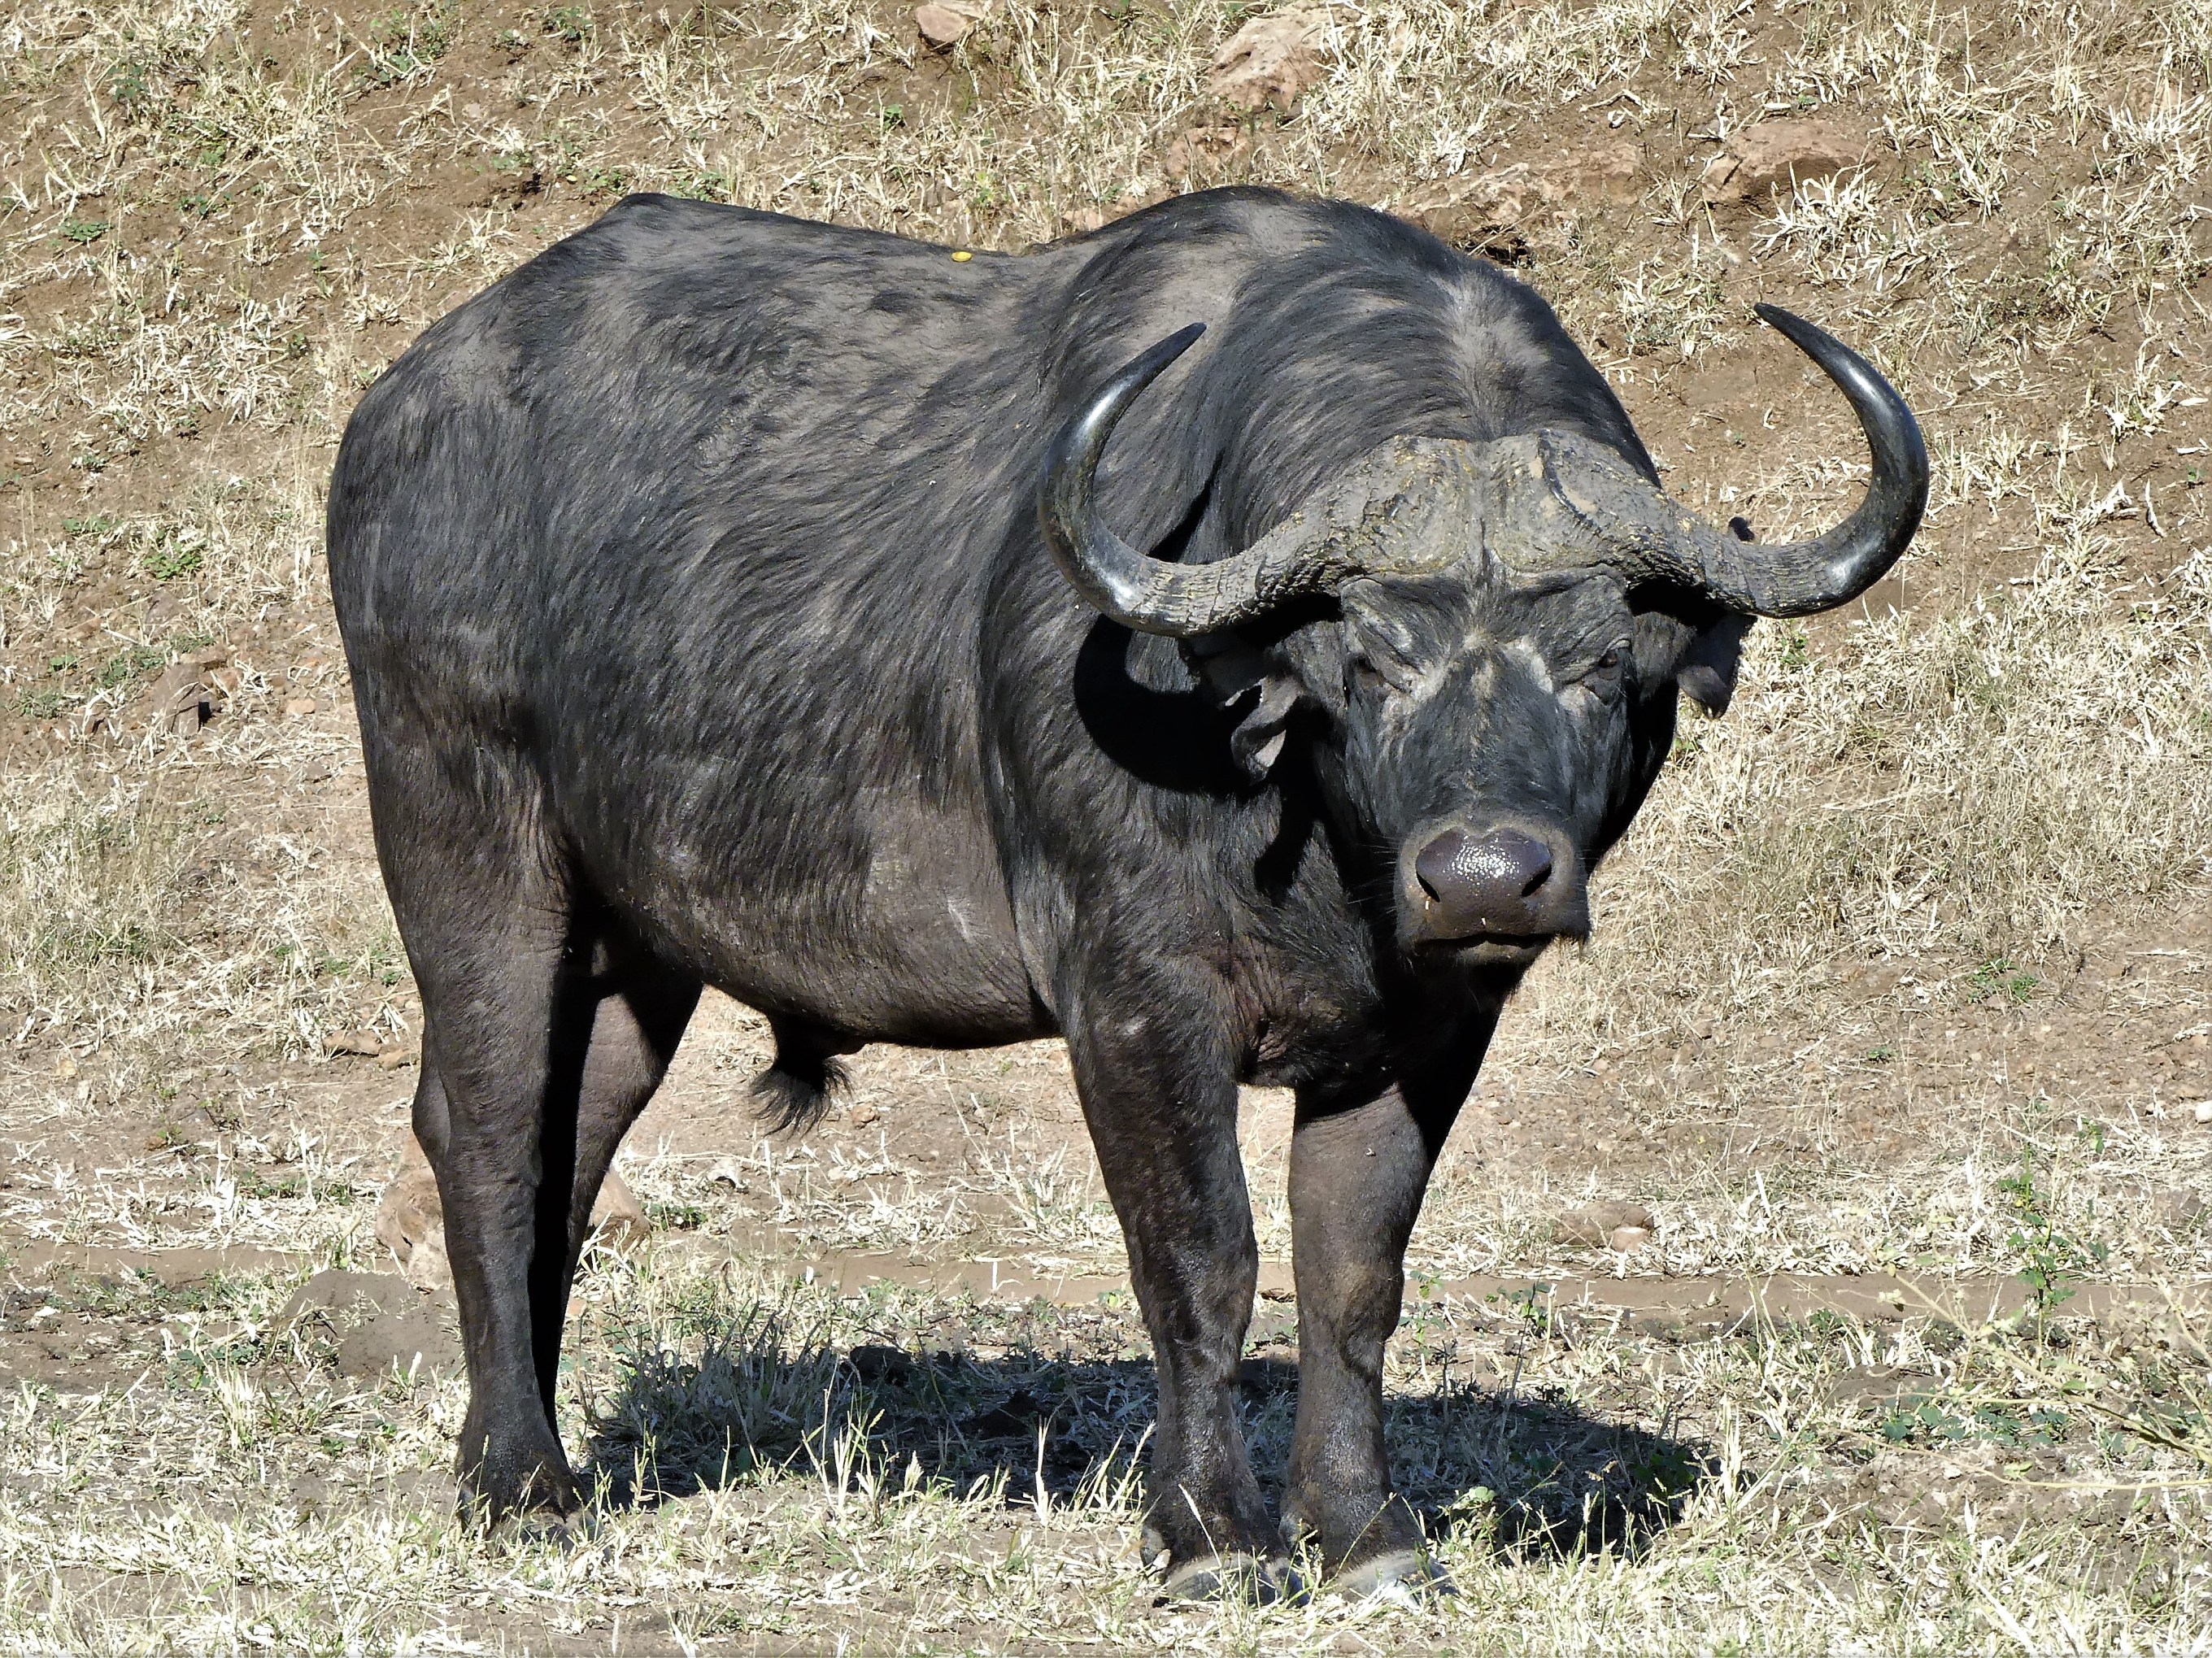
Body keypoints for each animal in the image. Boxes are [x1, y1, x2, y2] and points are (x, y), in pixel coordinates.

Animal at [328, 185, 1925, 1598]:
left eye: (1603, 660)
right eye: (1367, 659)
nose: (1485, 875)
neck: (1305, 815)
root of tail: (397, 416)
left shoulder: (1429, 1029)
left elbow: (1354, 1276)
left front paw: (1367, 1533)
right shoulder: (1134, 1000)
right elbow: (1202, 1259)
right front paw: (1214, 1534)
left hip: (641, 944)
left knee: (570, 1148)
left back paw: (524, 1444)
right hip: (468, 837)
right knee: (486, 1134)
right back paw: (520, 1483)